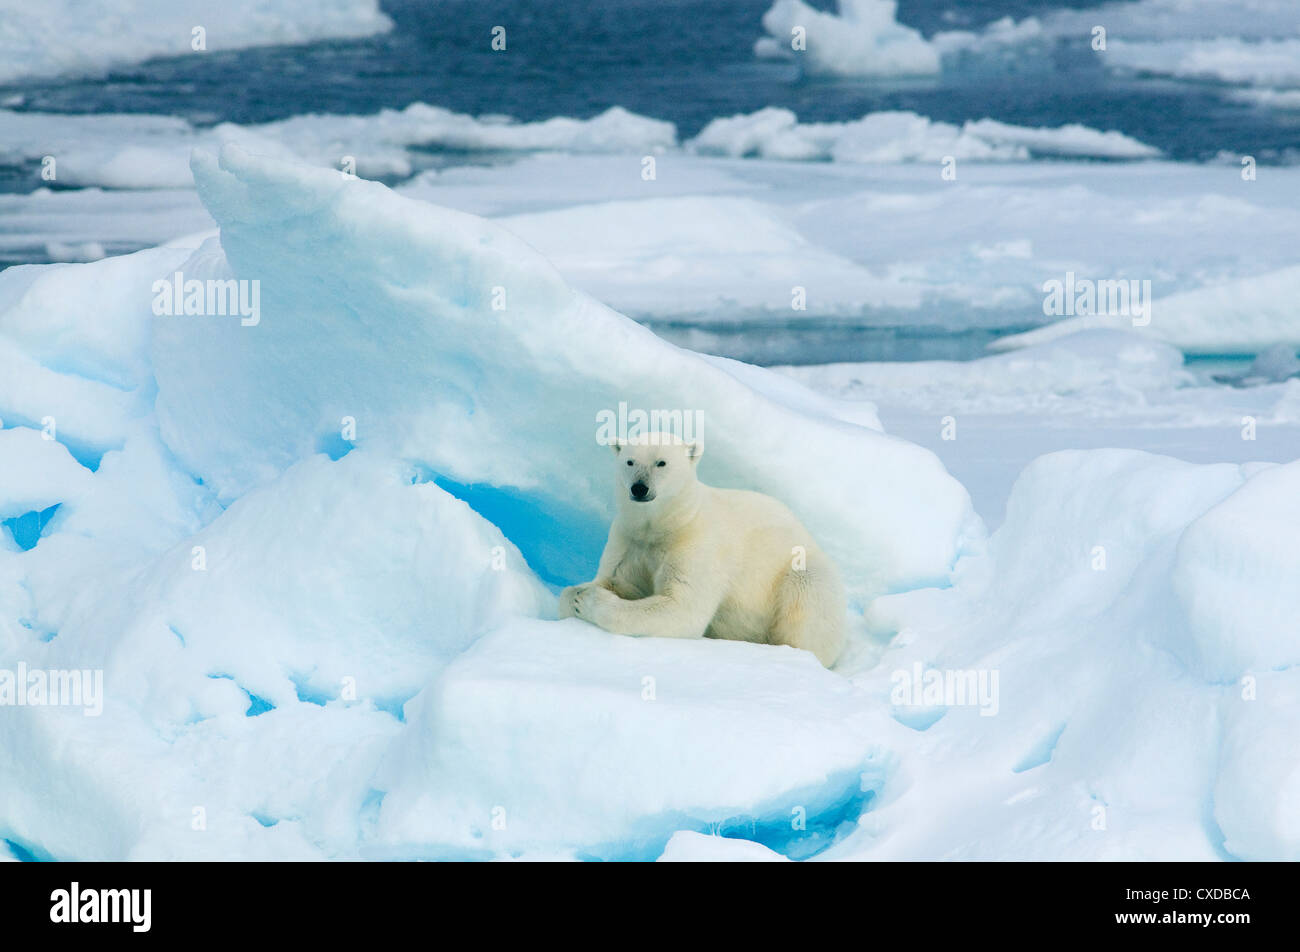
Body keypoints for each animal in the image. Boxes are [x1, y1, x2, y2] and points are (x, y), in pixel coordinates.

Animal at [556, 434, 842, 665]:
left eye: (661, 462)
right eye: (630, 461)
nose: (639, 488)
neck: (667, 524)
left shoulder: (695, 545)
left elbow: (682, 606)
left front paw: (587, 599)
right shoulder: (629, 541)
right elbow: (616, 580)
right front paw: (576, 593)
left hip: (799, 572)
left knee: (805, 600)